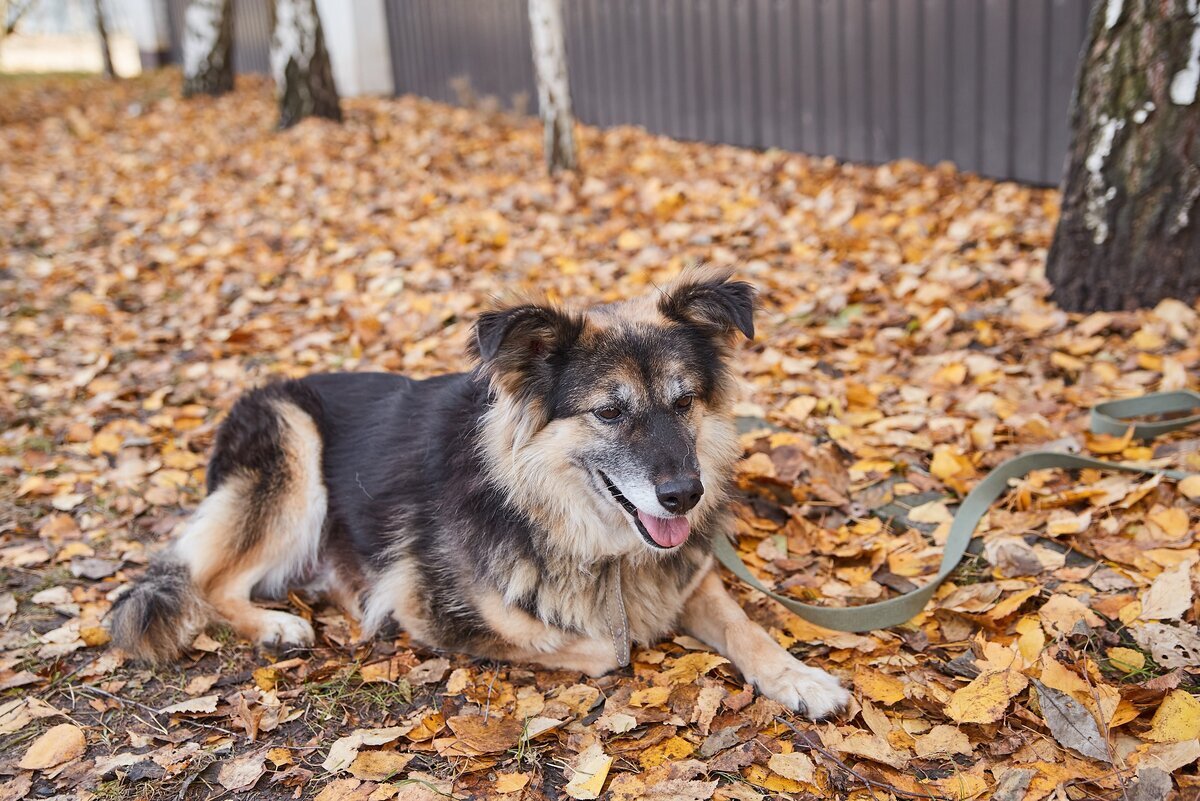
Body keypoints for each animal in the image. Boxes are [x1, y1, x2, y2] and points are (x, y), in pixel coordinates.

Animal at [108, 268, 849, 719]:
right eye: (610, 412)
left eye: (685, 401)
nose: (684, 496)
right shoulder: (431, 609)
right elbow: (605, 647)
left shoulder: (689, 577)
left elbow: (747, 625)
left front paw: (800, 677)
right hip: (292, 452)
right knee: (208, 581)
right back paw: (276, 624)